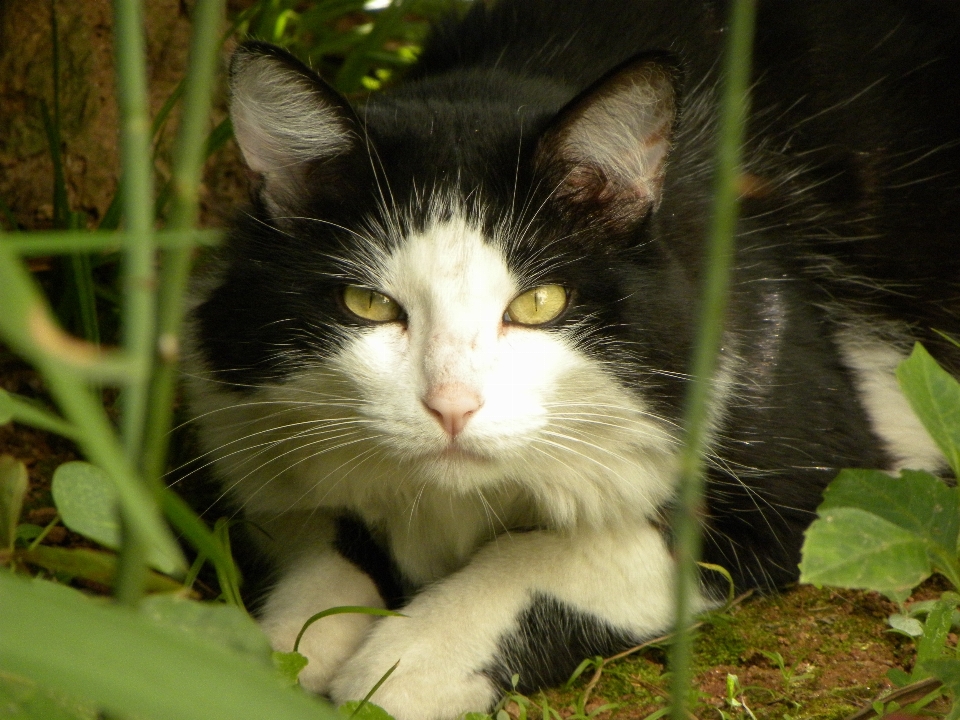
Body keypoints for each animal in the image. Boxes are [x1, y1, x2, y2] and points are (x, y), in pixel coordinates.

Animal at [182, 0, 960, 716]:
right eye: (367, 304)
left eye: (539, 303)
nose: (452, 406)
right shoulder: (238, 422)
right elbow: (322, 537)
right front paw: (255, 660)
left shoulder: (819, 461)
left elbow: (556, 551)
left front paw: (409, 663)